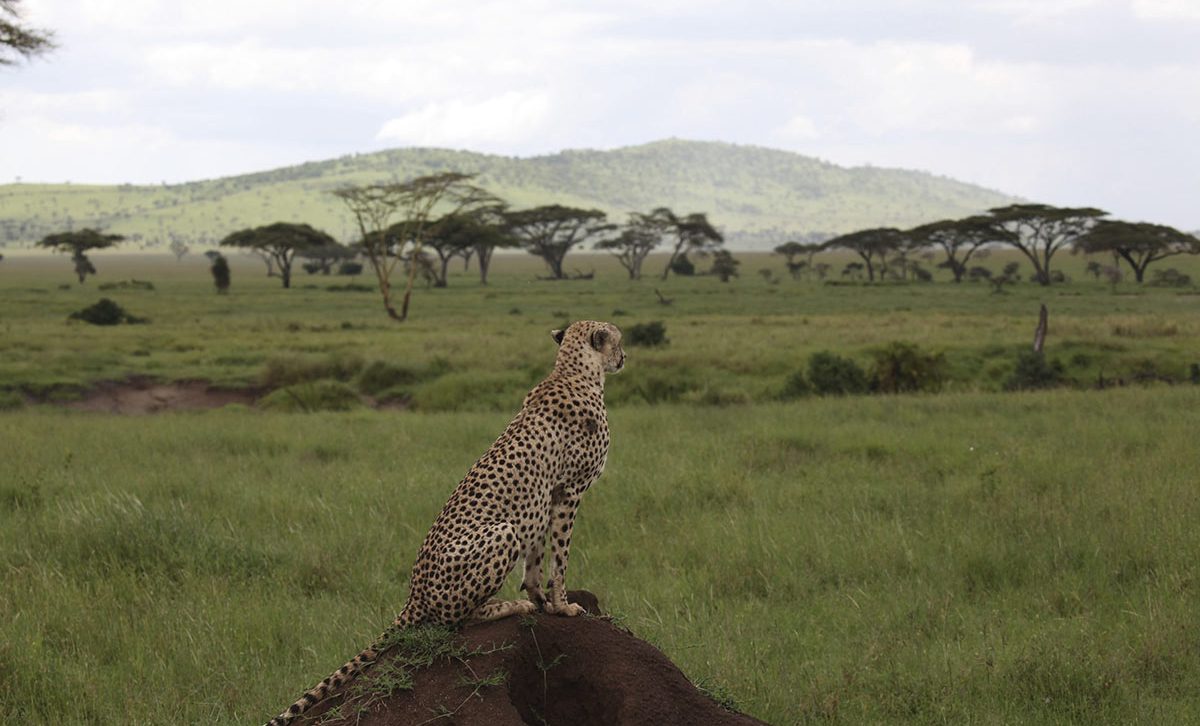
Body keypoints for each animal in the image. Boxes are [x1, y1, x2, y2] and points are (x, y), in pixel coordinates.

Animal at [266, 320, 625, 726]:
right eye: (618, 342)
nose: (624, 357)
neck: (574, 370)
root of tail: (414, 592)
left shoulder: (544, 497)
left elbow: (536, 560)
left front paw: (543, 601)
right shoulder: (570, 491)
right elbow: (559, 557)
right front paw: (562, 605)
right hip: (501, 533)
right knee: (455, 620)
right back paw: (506, 606)